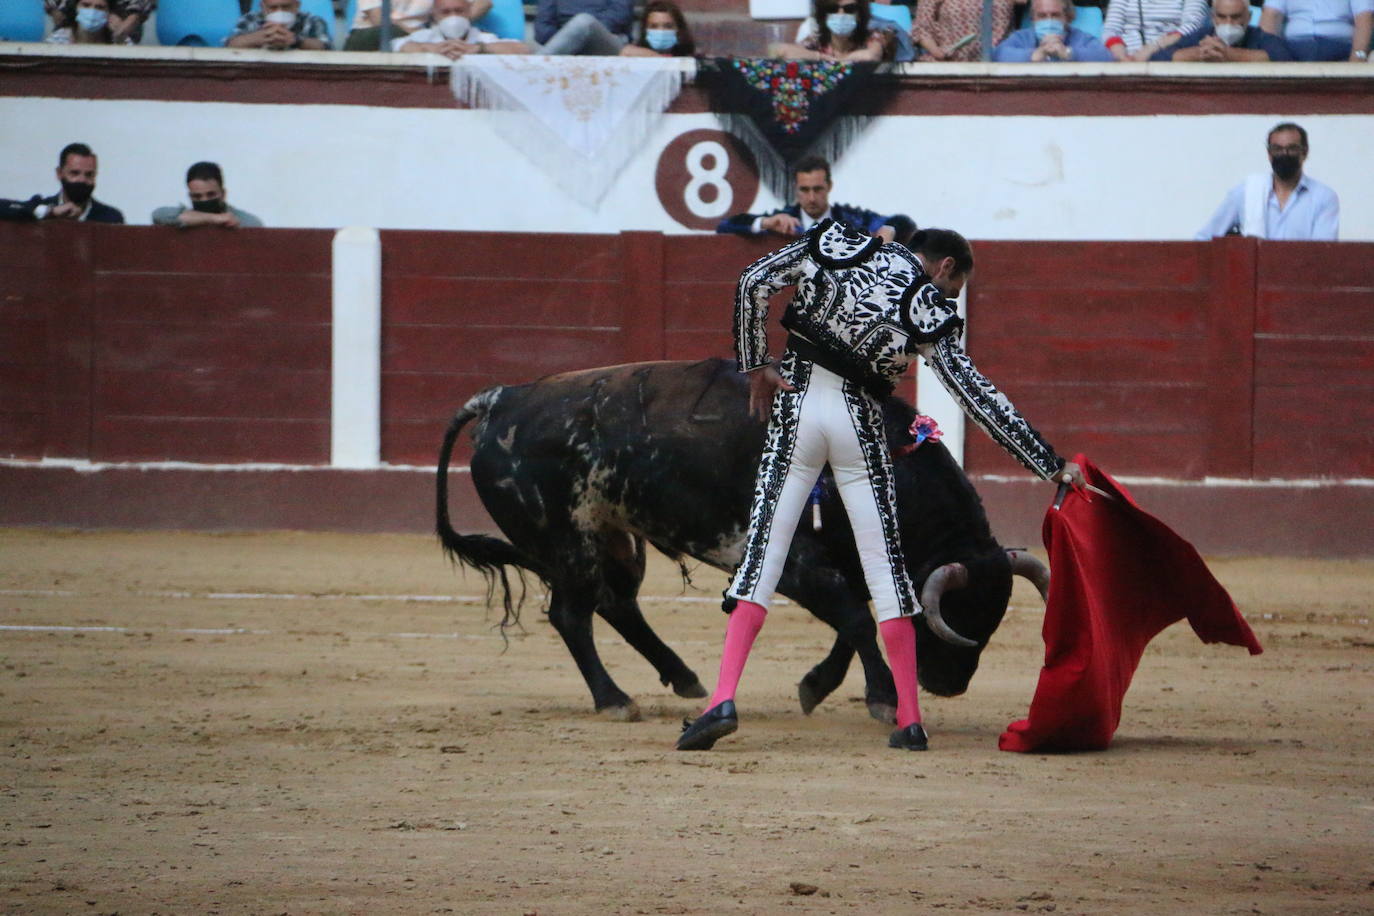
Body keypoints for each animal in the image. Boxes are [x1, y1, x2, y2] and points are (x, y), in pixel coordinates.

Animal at [434, 357, 1044, 725]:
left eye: (991, 618)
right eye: (958, 615)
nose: (951, 683)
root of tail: (500, 399)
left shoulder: (847, 564)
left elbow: (856, 624)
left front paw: (817, 686)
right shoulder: (799, 565)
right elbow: (858, 620)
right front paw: (883, 699)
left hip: (613, 535)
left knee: (616, 603)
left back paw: (683, 679)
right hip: (568, 540)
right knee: (571, 614)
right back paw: (614, 701)